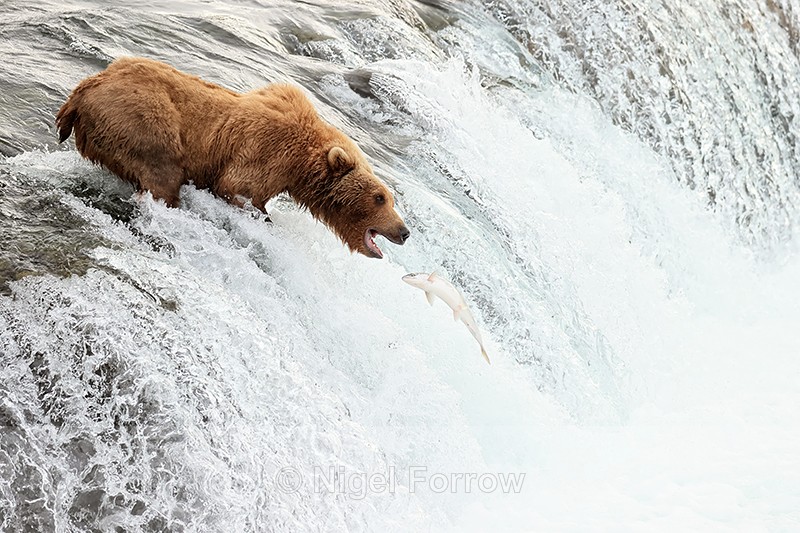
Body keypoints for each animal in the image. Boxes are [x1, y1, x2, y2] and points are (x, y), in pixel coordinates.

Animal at [56, 57, 410, 259]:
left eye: (390, 199)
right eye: (379, 197)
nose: (404, 231)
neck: (301, 166)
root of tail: (83, 91)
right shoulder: (262, 154)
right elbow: (238, 191)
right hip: (143, 119)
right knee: (163, 176)